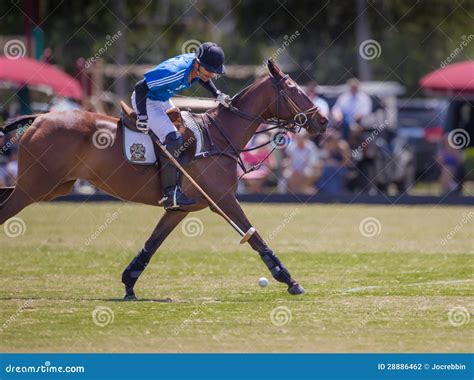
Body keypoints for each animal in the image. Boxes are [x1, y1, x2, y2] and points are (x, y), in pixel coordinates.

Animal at [0, 60, 326, 298]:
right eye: (293, 90)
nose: (322, 121)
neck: (220, 136)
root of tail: (38, 118)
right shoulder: (222, 199)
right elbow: (254, 236)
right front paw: (290, 280)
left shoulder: (181, 208)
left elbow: (152, 243)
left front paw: (129, 284)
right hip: (35, 187)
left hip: (52, 187)